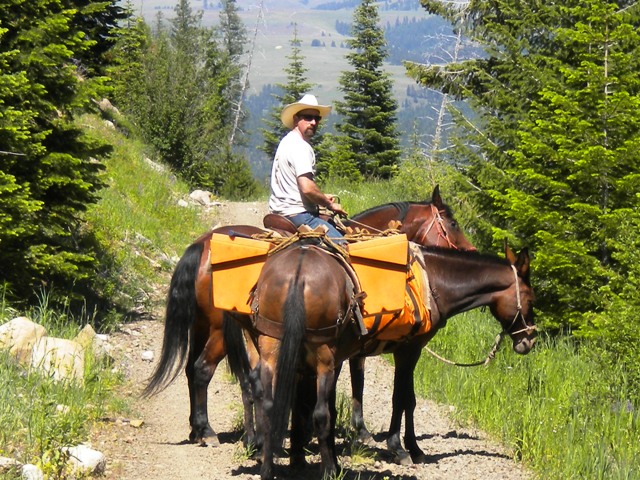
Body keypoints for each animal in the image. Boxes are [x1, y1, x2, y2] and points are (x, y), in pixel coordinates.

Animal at [145, 186, 476, 448]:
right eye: (453, 223)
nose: (472, 251)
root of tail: (201, 244)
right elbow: (354, 381)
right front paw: (357, 432)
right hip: (217, 330)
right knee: (202, 370)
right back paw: (208, 431)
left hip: (201, 324)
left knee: (191, 368)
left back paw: (197, 430)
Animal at [250, 244, 536, 480]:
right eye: (530, 299)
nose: (529, 340)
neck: (432, 281)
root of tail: (298, 272)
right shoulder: (409, 350)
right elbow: (404, 399)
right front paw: (403, 448)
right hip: (321, 356)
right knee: (317, 412)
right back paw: (327, 469)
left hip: (274, 348)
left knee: (270, 404)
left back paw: (269, 468)